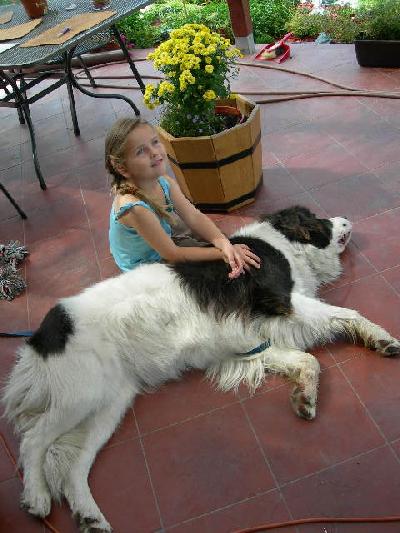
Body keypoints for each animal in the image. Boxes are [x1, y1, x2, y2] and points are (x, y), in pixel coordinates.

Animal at [3, 205, 400, 532]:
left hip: (107, 406)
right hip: (80, 396)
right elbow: (347, 314)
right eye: (318, 220)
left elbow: (308, 360)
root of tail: (43, 333)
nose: (346, 219)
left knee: (73, 468)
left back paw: (89, 516)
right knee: (33, 440)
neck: (281, 245)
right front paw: (383, 339)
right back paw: (36, 497)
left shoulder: (246, 342)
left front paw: (304, 396)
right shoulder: (284, 303)